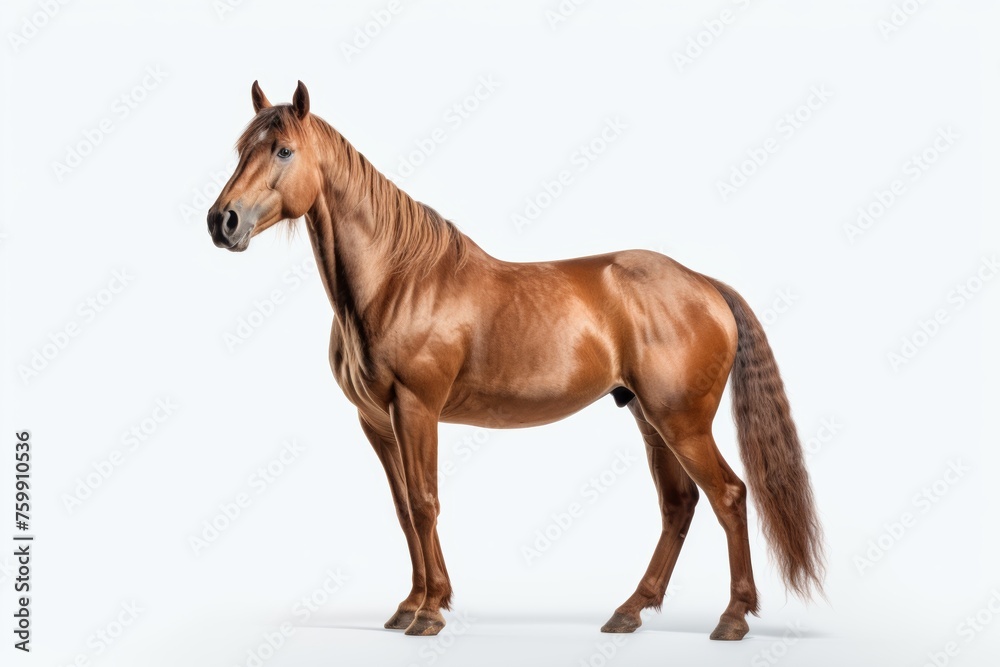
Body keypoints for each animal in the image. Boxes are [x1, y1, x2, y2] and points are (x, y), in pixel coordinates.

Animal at [206, 81, 824, 640]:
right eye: (241, 149)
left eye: (283, 151)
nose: (222, 221)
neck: (398, 280)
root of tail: (704, 283)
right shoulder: (377, 421)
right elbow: (405, 509)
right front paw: (411, 605)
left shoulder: (416, 408)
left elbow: (425, 503)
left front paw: (430, 612)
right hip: (649, 418)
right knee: (679, 505)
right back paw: (629, 611)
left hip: (683, 422)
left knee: (729, 496)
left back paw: (733, 617)